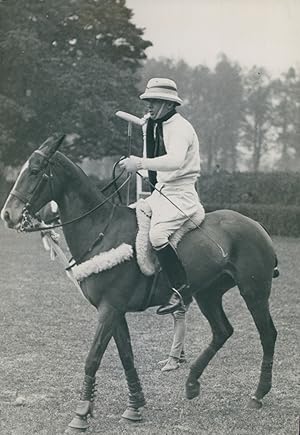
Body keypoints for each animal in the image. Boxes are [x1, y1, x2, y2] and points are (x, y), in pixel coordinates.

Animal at [0, 135, 278, 432]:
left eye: (35, 171)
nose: (7, 215)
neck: (101, 230)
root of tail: (258, 226)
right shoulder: (115, 311)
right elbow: (126, 357)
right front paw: (134, 406)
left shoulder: (109, 309)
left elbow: (93, 358)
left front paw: (81, 414)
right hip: (208, 294)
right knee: (222, 331)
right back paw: (192, 383)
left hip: (254, 291)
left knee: (267, 334)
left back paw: (258, 394)